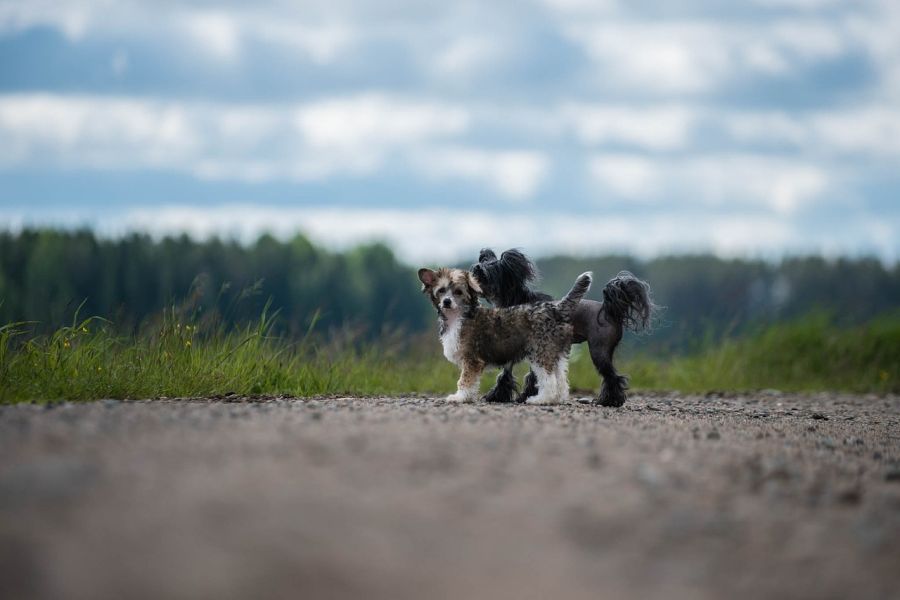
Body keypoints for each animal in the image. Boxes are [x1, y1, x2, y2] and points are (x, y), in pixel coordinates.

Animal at [418, 266, 596, 404]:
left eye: (458, 292)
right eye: (441, 291)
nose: (447, 301)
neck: (460, 316)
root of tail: (555, 309)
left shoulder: (472, 360)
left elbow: (464, 381)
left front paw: (459, 397)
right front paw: (466, 397)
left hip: (540, 353)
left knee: (549, 380)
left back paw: (541, 399)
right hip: (555, 353)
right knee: (561, 380)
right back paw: (556, 399)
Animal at [472, 248, 652, 408]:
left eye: (486, 274)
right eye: (476, 270)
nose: (474, 271)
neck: (515, 298)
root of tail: (608, 310)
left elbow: (514, 374)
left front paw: (508, 396)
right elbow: (516, 375)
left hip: (598, 350)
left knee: (612, 377)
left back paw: (609, 401)